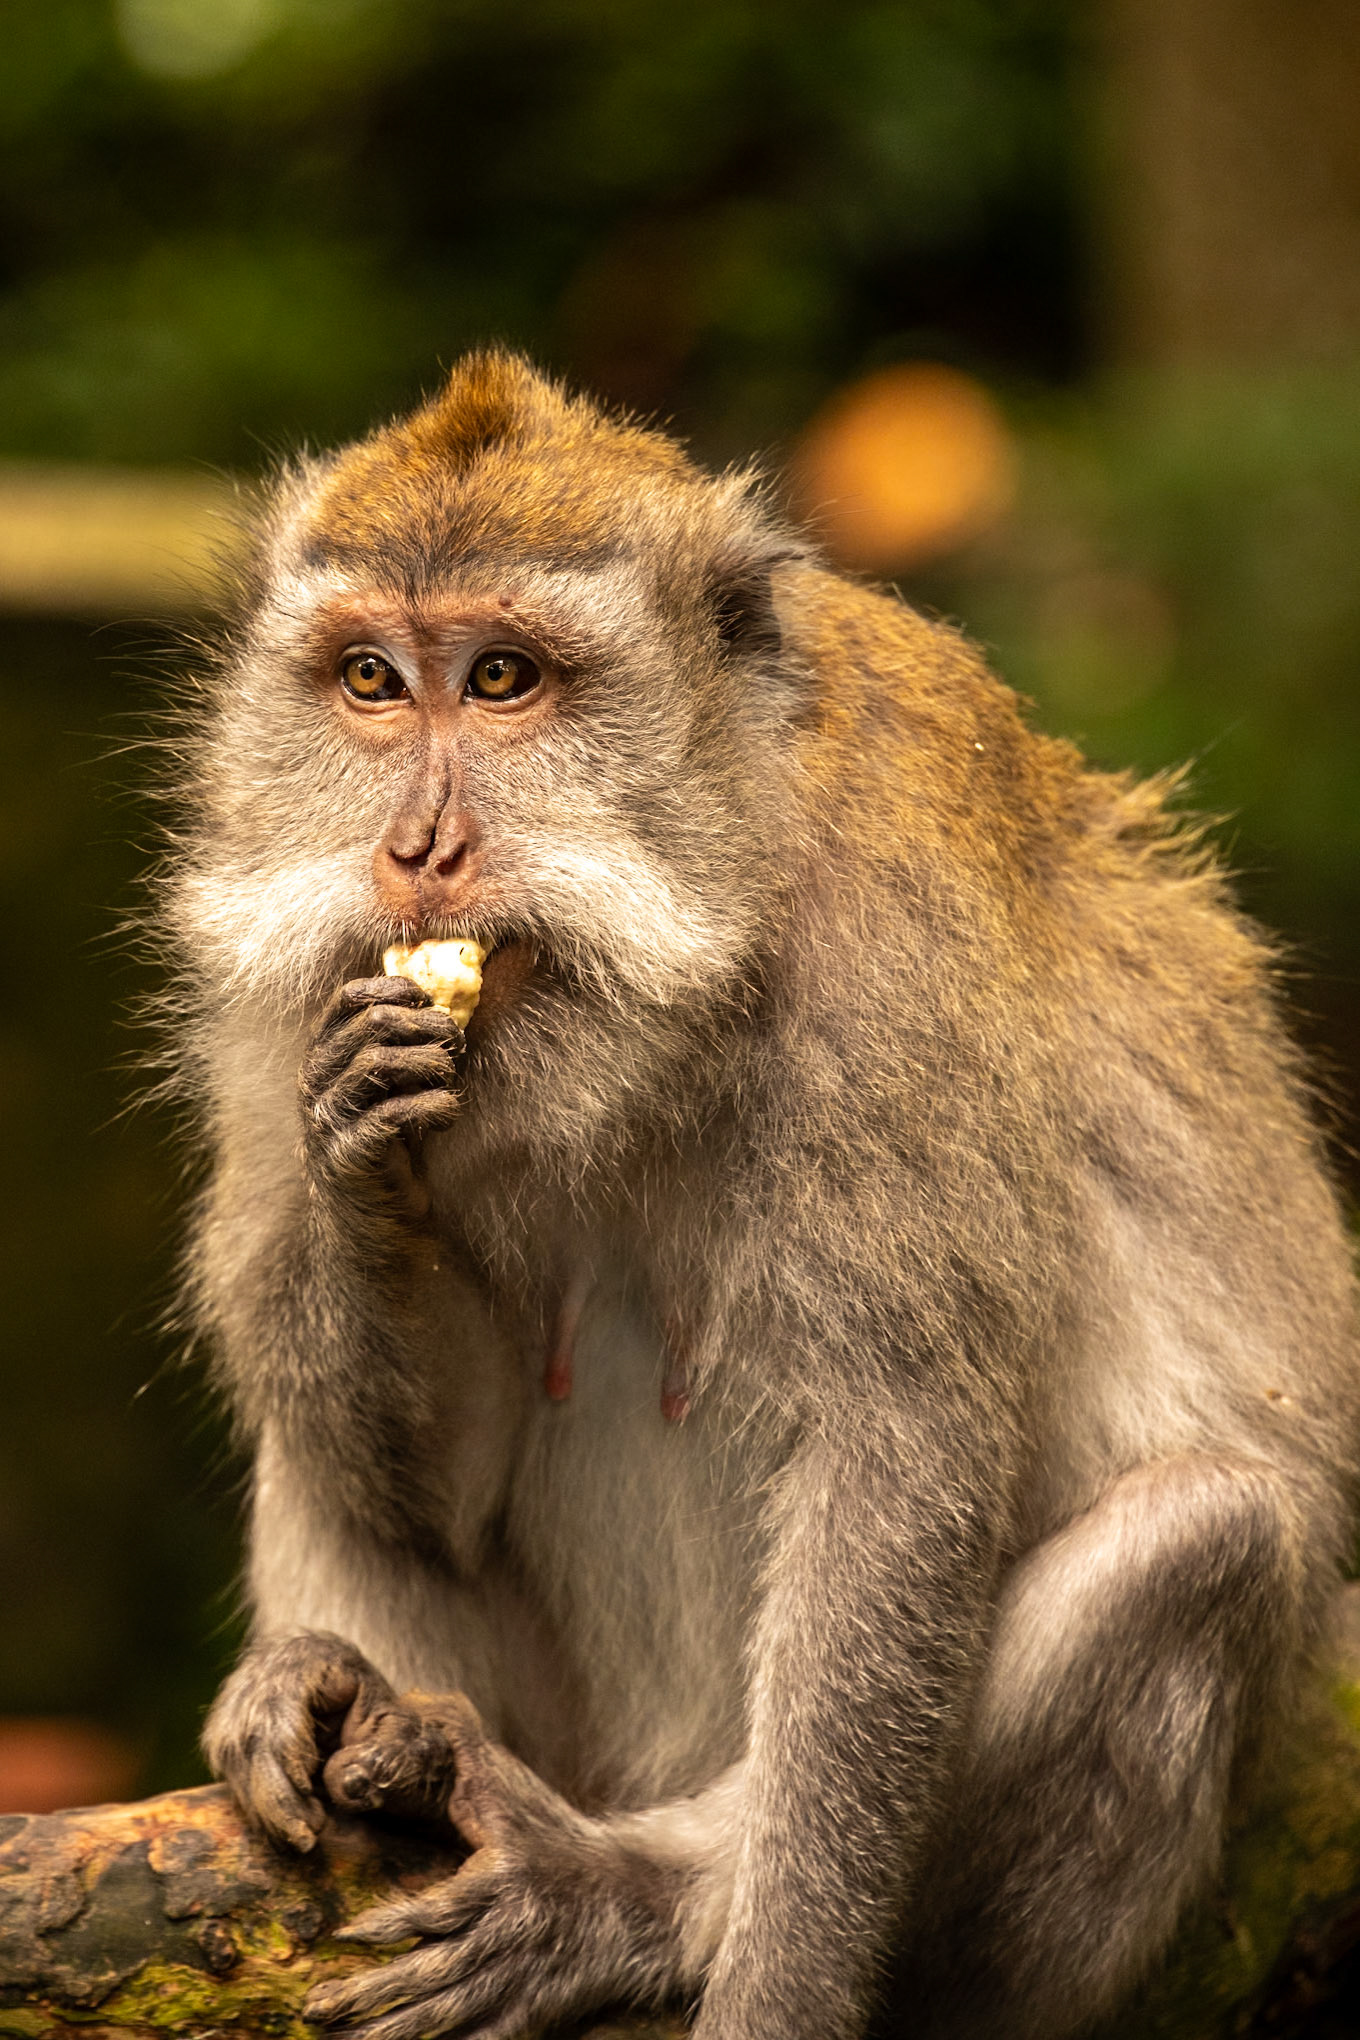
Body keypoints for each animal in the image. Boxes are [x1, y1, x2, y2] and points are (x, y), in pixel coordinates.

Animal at [174, 349, 1360, 2040]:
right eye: (370, 683)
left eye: (505, 680)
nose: (415, 848)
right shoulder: (279, 992)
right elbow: (424, 1479)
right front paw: (360, 1163)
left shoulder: (889, 960)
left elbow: (900, 1460)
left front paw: (767, 1984)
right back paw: (347, 1703)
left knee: (1205, 1539)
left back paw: (642, 1895)